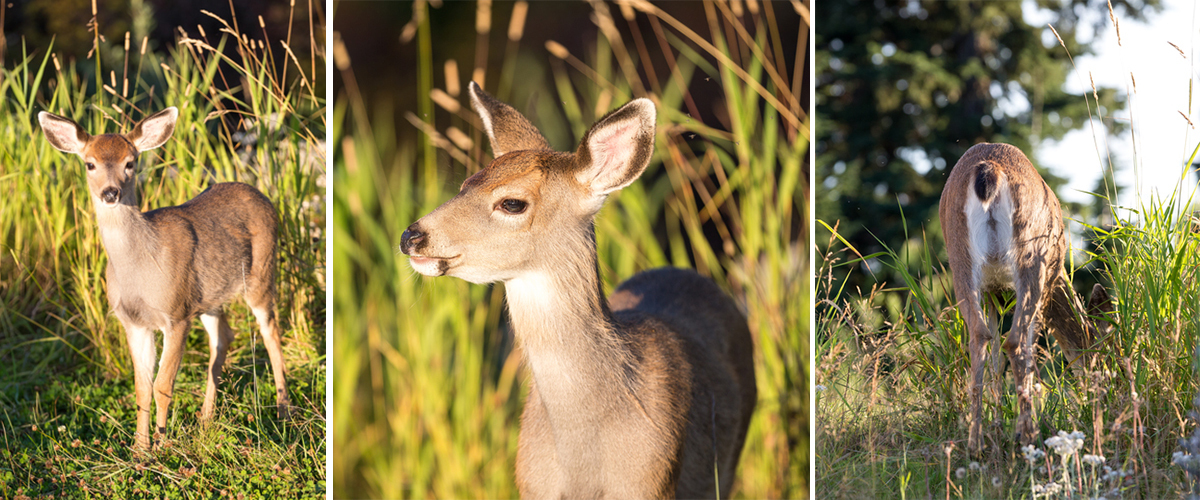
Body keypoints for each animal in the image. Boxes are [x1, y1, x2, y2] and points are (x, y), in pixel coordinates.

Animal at [38, 107, 291, 450]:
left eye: (130, 162)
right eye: (89, 163)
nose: (110, 193)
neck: (139, 272)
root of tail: (260, 193)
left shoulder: (177, 314)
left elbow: (162, 385)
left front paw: (160, 444)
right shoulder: (134, 322)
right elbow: (142, 387)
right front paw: (139, 449)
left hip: (261, 273)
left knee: (271, 332)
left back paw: (283, 411)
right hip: (209, 299)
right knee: (223, 337)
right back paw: (206, 419)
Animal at [936, 141, 1113, 450]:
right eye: (1107, 355)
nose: (1107, 394)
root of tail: (989, 170)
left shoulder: (992, 290)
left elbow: (995, 358)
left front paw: (997, 426)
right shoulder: (1045, 282)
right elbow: (1029, 350)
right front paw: (1020, 427)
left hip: (960, 257)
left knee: (978, 336)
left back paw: (975, 443)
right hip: (1031, 256)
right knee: (1016, 341)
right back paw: (1030, 436)